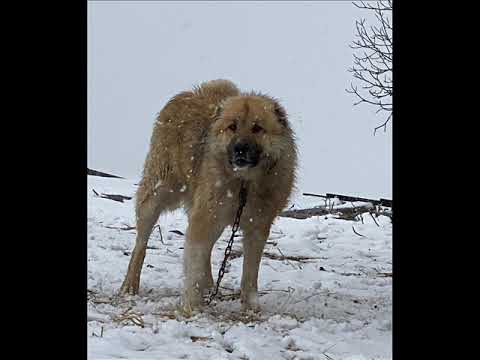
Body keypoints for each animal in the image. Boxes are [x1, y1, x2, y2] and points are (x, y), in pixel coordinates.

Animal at [121, 79, 296, 312]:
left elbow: (250, 271)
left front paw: (250, 307)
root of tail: (187, 94)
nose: (240, 148)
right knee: (141, 244)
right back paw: (130, 284)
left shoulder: (258, 225)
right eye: (232, 126)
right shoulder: (205, 217)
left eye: (257, 128)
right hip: (156, 195)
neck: (243, 183)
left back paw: (210, 285)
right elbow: (194, 262)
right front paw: (191, 306)